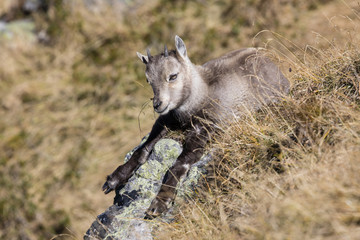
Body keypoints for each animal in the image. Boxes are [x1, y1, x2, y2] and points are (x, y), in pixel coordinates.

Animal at [102, 35, 290, 218]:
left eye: (173, 76)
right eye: (149, 80)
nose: (158, 104)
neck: (199, 96)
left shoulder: (205, 129)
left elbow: (178, 165)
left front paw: (159, 203)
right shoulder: (166, 121)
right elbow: (142, 150)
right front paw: (113, 179)